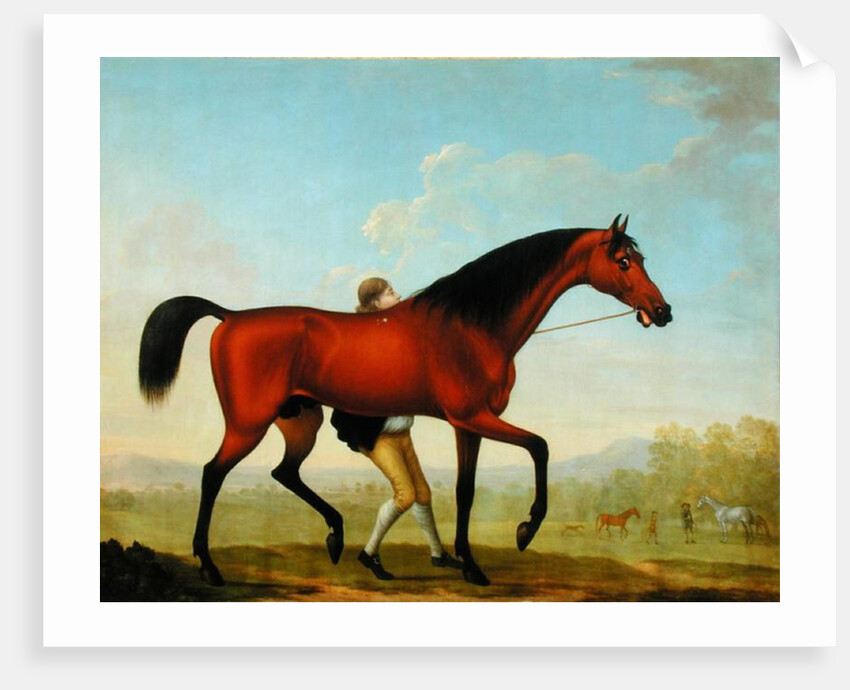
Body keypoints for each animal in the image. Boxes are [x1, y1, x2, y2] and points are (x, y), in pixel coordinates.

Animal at [138, 214, 672, 587]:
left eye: (642, 260)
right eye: (623, 261)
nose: (662, 311)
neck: (472, 326)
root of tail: (229, 316)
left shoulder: (468, 425)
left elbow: (464, 491)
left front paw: (466, 562)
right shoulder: (474, 417)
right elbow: (539, 447)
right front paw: (525, 531)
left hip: (301, 421)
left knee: (284, 472)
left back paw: (337, 536)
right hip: (248, 424)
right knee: (213, 474)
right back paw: (210, 566)